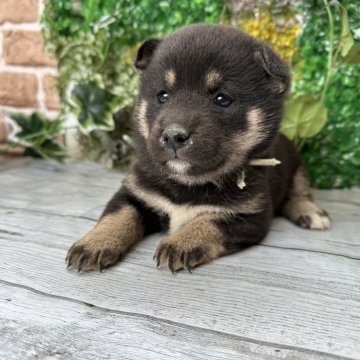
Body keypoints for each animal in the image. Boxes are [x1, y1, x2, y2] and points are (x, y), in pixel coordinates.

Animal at [66, 23, 330, 272]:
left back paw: (311, 213)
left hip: (298, 167)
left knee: (299, 193)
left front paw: (180, 243)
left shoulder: (251, 214)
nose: (173, 136)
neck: (188, 183)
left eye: (222, 99)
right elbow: (117, 215)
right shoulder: (134, 192)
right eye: (162, 95)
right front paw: (94, 243)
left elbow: (209, 221)